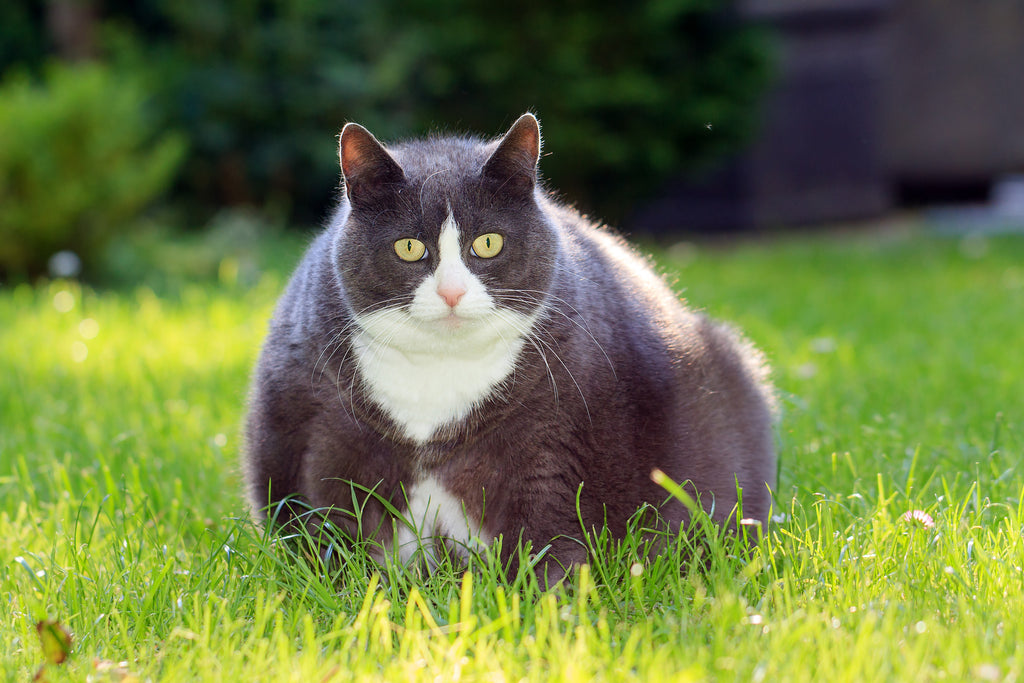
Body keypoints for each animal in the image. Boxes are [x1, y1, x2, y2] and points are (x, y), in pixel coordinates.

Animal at [241, 113, 774, 581]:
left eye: (489, 243)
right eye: (409, 247)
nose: (452, 292)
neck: (439, 372)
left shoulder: (551, 442)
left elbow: (544, 538)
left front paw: (538, 606)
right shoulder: (326, 433)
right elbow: (334, 528)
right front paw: (348, 595)